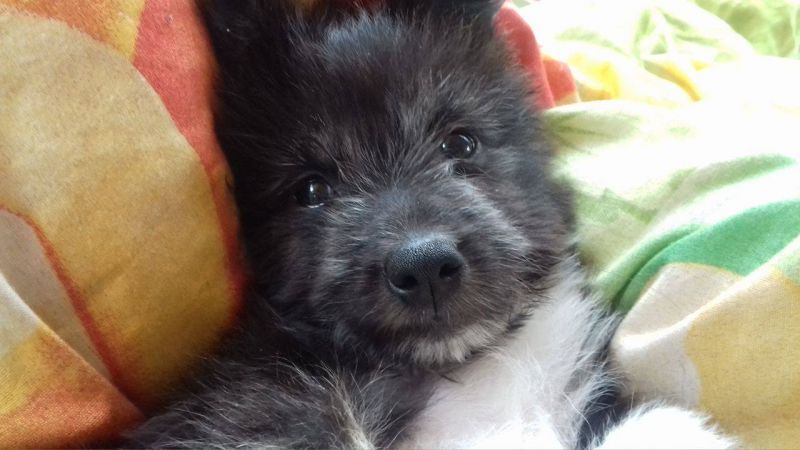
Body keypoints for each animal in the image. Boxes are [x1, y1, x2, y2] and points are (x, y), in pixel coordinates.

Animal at [126, 0, 736, 448]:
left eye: (460, 143)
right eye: (311, 190)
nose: (424, 267)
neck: (465, 370)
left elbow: (655, 424)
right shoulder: (261, 413)